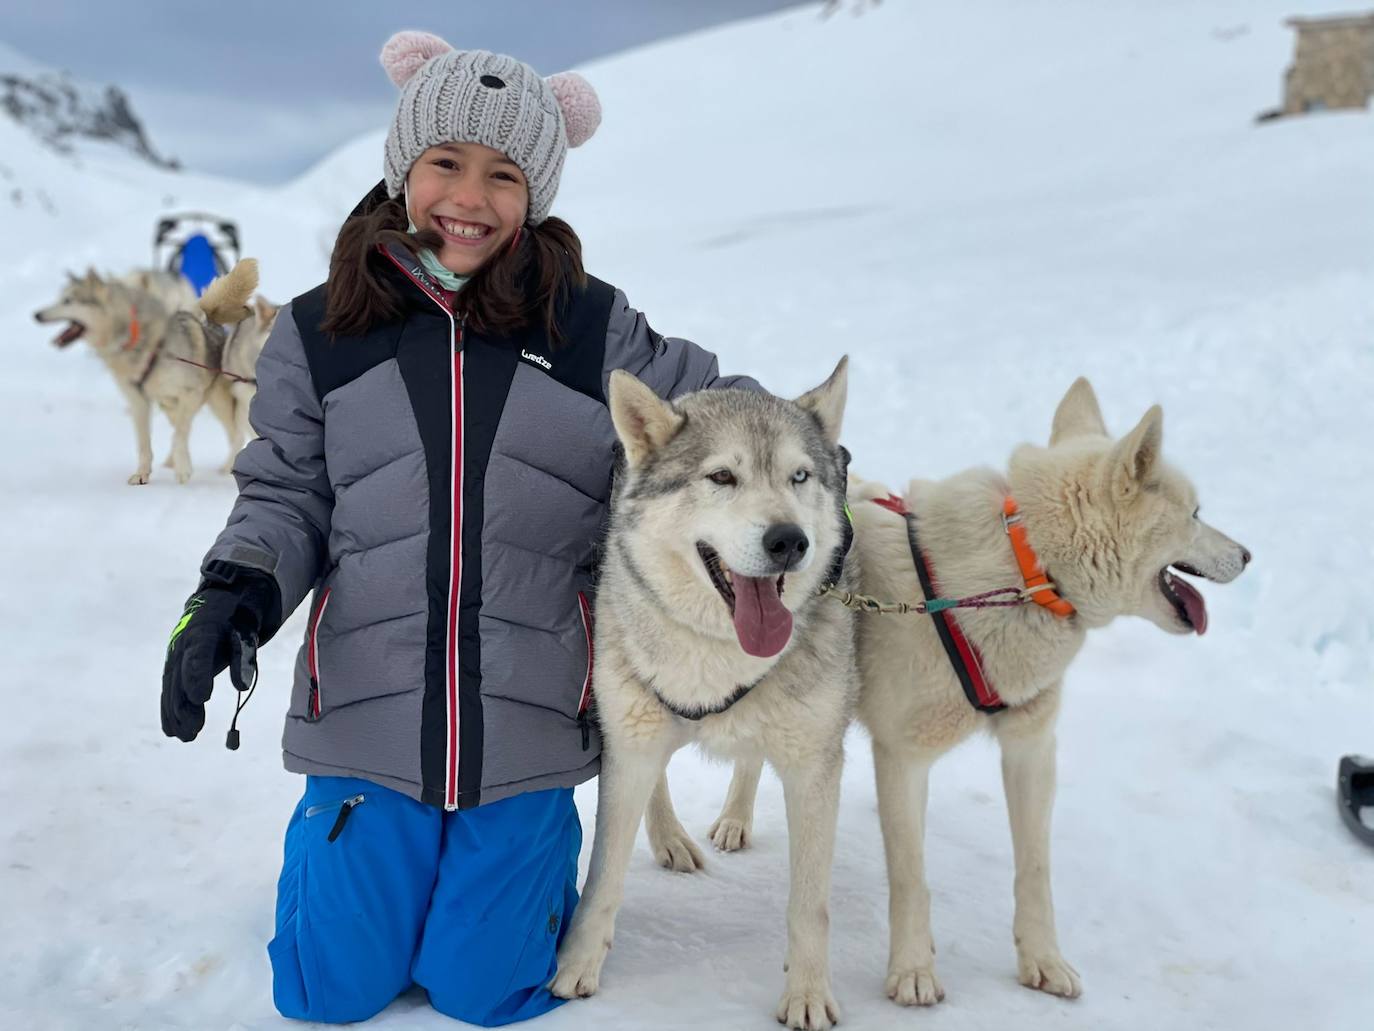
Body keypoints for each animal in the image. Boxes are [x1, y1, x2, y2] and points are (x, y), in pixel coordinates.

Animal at [34, 258, 258, 483]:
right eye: (60, 298)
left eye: (68, 300)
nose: (37, 314)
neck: (141, 341)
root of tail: (214, 324)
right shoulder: (138, 401)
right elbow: (145, 443)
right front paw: (142, 474)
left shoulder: (190, 394)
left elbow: (179, 435)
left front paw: (183, 470)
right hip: (170, 405)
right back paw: (172, 461)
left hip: (219, 402)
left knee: (234, 434)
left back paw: (227, 466)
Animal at [549, 360, 851, 1028]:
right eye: (722, 476)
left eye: (799, 476)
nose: (789, 541)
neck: (720, 656)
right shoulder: (631, 739)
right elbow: (602, 877)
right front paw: (574, 968)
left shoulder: (814, 765)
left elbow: (811, 903)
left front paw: (808, 993)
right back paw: (670, 839)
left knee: (750, 759)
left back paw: (733, 821)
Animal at [714, 379, 1253, 1011]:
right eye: (1196, 514)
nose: (1248, 555)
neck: (1023, 570)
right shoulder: (904, 758)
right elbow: (911, 875)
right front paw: (913, 971)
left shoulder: (1031, 748)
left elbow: (1035, 869)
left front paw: (1042, 961)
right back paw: (732, 820)